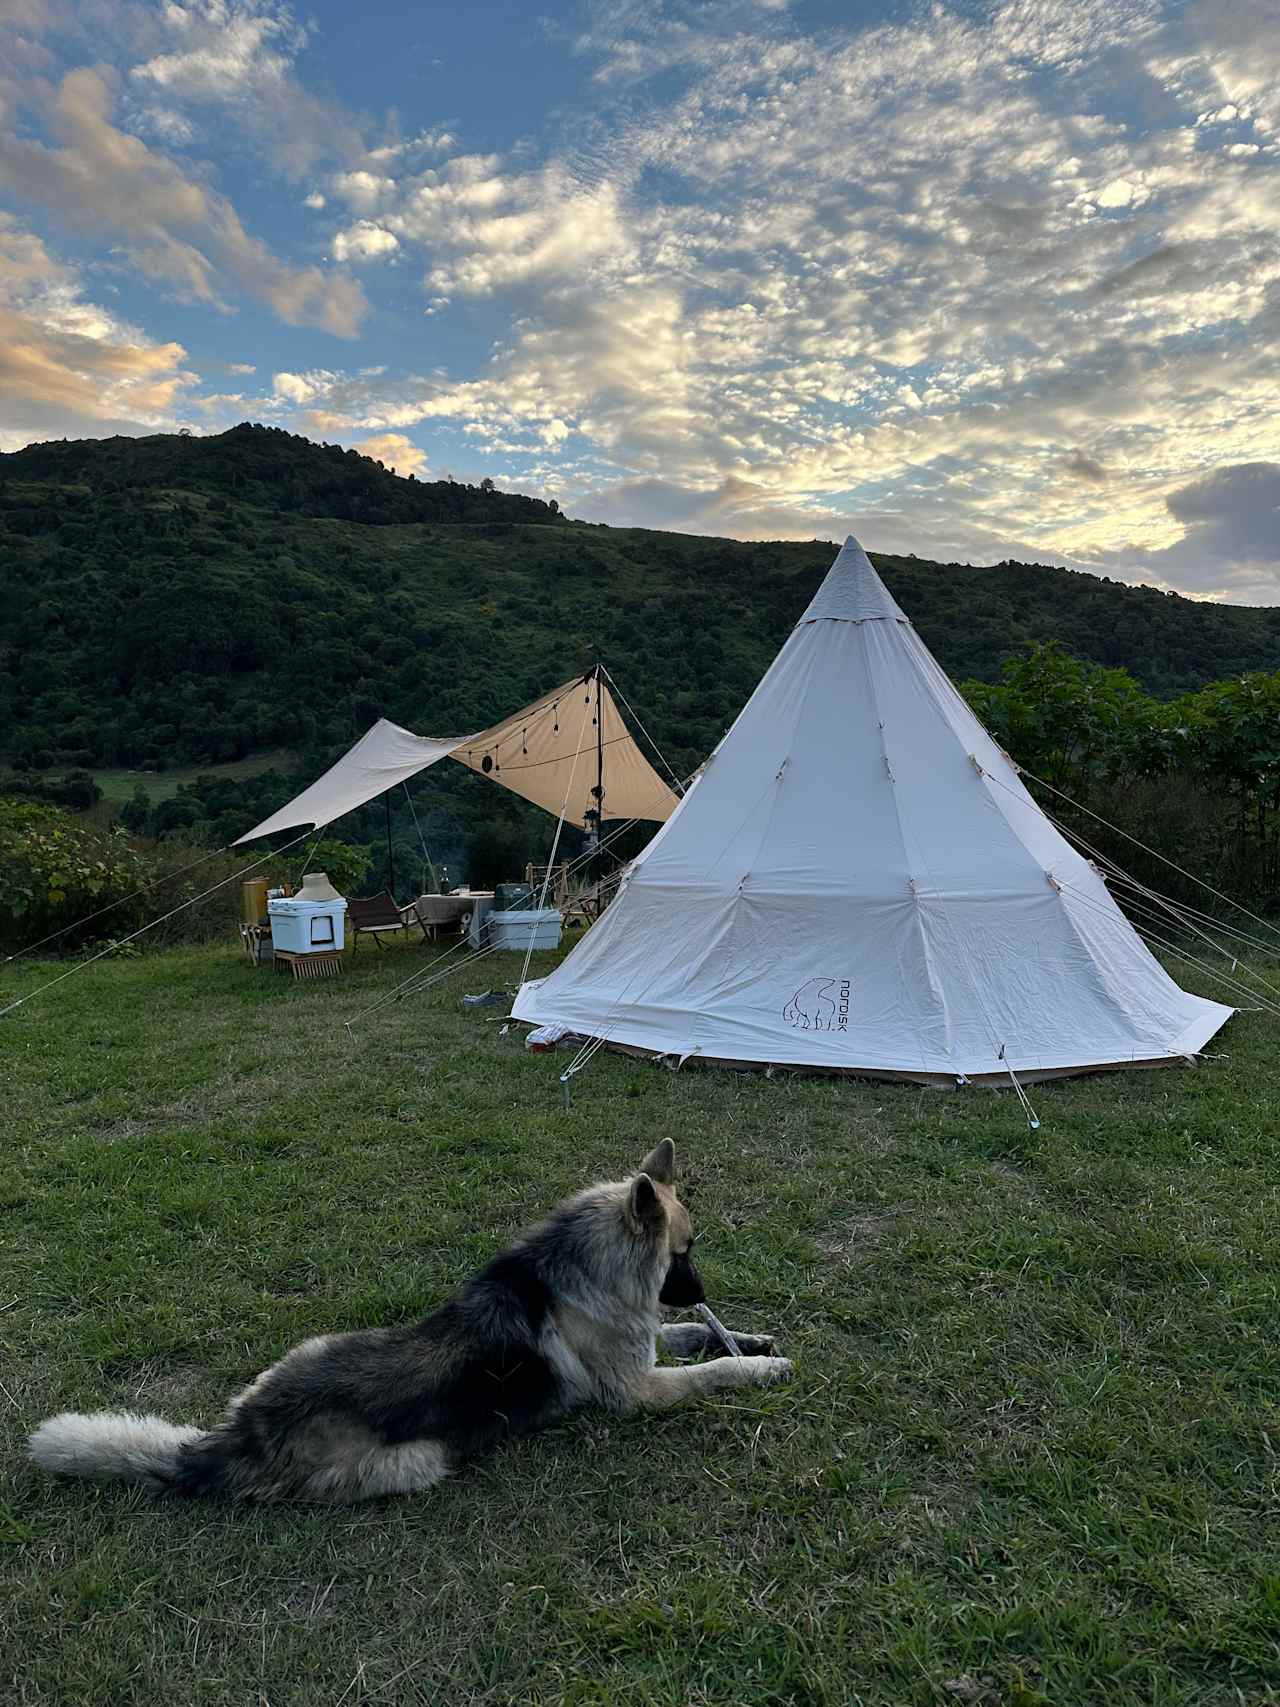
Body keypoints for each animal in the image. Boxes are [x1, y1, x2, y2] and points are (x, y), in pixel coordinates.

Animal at [27, 1147, 791, 1508]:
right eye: (683, 1254)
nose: (703, 1291)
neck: (583, 1270)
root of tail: (237, 1437)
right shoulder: (638, 1391)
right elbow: (711, 1368)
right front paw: (759, 1366)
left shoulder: (649, 1345)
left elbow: (699, 1339)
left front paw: (753, 1336)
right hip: (422, 1459)